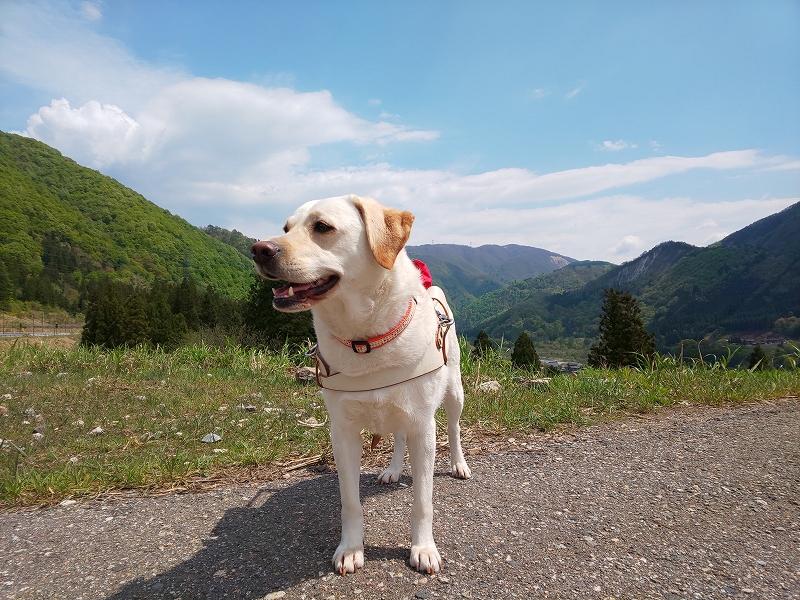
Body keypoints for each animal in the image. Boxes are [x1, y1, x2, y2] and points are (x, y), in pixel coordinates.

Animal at [251, 194, 471, 575]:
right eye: (286, 228)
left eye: (322, 226)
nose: (258, 249)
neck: (364, 339)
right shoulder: (343, 432)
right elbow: (350, 502)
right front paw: (351, 549)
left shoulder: (423, 426)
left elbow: (423, 500)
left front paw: (423, 549)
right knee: (398, 438)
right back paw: (394, 470)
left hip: (453, 392)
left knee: (454, 428)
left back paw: (458, 464)